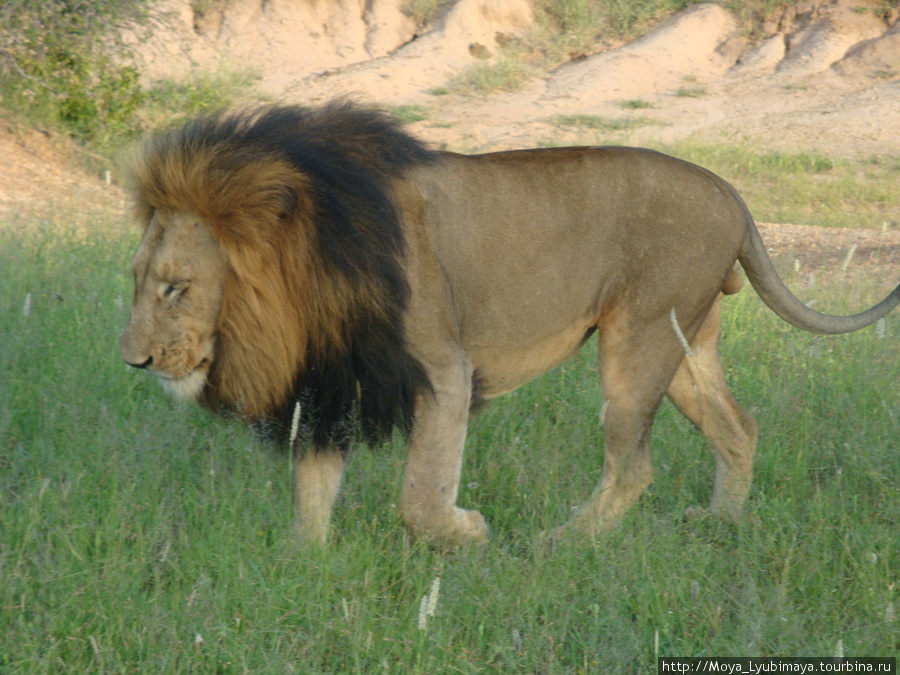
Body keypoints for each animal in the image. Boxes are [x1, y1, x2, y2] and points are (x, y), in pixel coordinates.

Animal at [119, 101, 900, 548]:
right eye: (137, 280)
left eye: (176, 288)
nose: (134, 361)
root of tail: (734, 195)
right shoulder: (334, 378)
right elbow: (313, 487)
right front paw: (304, 564)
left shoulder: (441, 366)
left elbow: (420, 497)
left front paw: (468, 532)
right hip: (685, 342)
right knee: (738, 427)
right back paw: (720, 524)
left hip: (640, 339)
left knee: (634, 464)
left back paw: (563, 542)